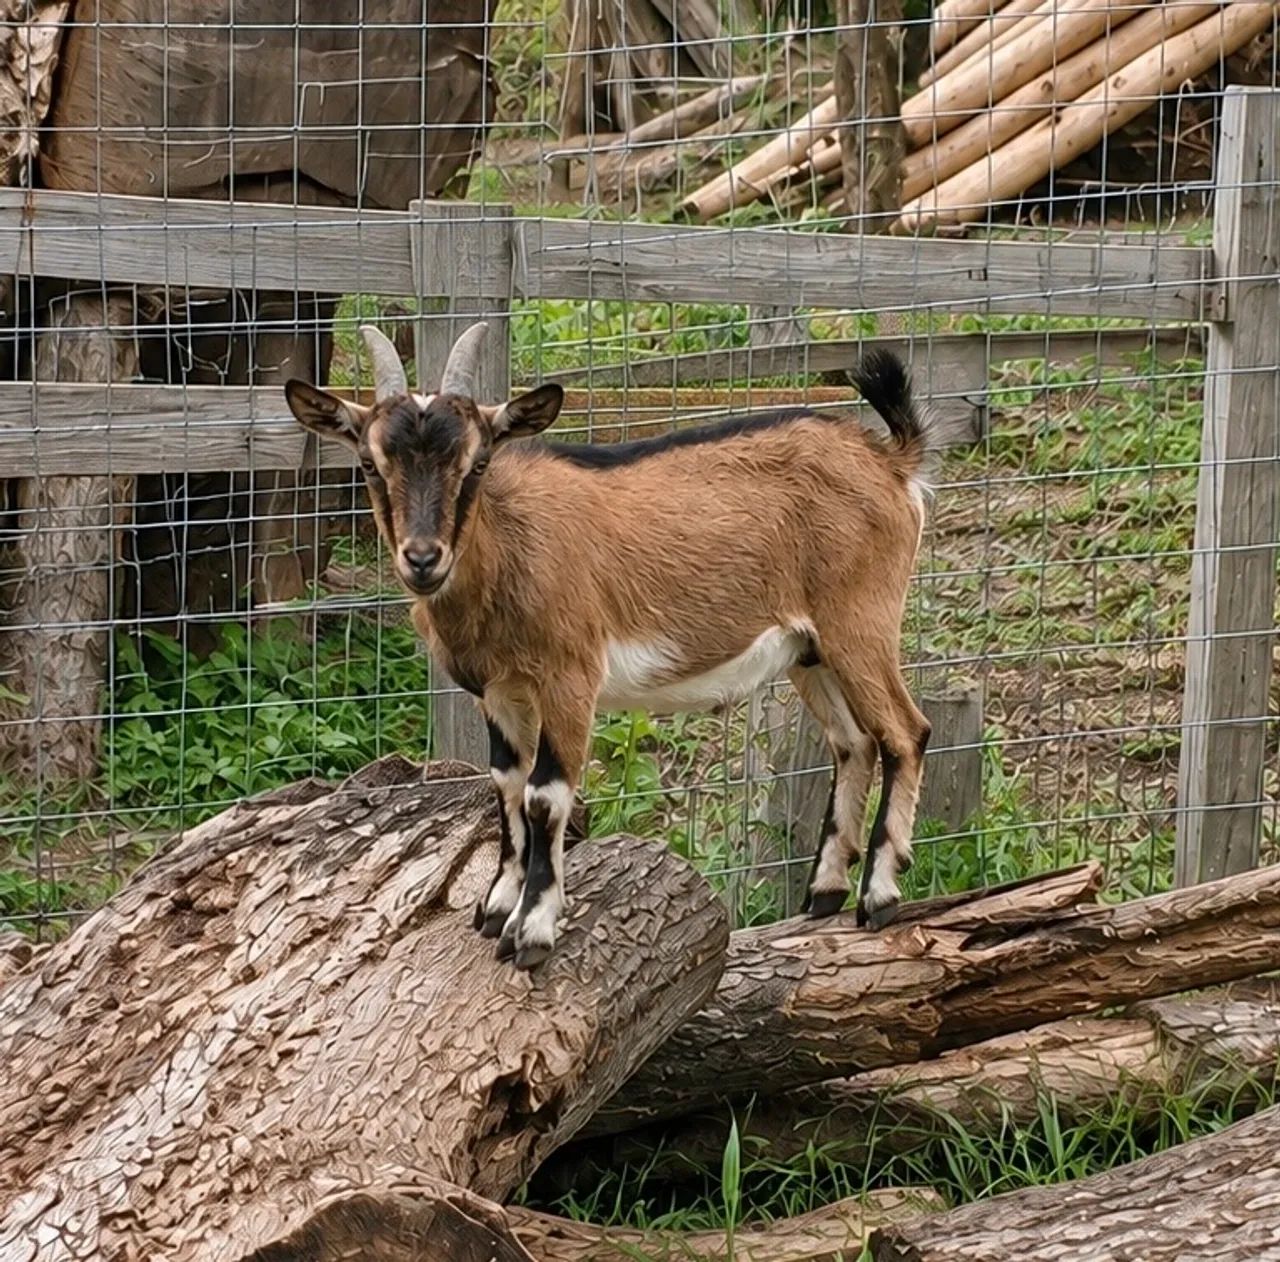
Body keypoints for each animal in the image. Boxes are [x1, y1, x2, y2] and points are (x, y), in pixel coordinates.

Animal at [285, 324, 937, 969]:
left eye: (477, 463)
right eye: (370, 462)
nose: (422, 559)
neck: (509, 545)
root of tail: (890, 461)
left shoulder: (570, 676)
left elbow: (545, 795)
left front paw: (532, 929)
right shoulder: (498, 691)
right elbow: (505, 784)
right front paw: (498, 905)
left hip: (860, 621)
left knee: (905, 733)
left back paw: (878, 896)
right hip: (809, 648)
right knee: (853, 743)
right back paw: (823, 892)